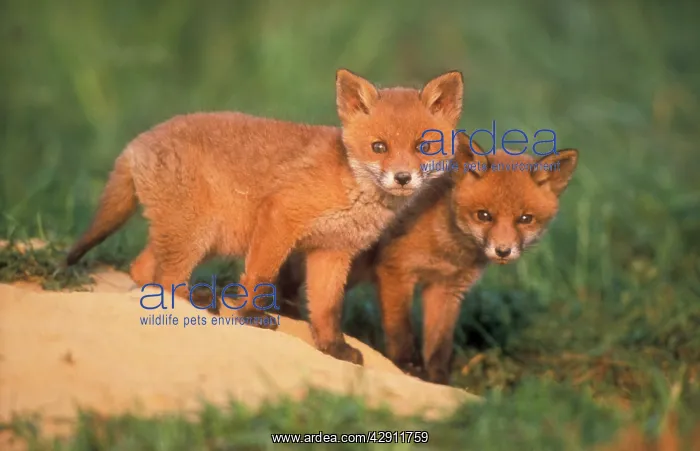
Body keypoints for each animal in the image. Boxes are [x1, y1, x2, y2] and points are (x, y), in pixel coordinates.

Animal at [64, 68, 466, 365]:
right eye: (379, 147)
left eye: (423, 146)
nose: (403, 178)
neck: (350, 186)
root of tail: (137, 142)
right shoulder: (280, 218)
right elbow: (260, 276)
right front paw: (250, 318)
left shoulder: (332, 252)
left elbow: (326, 308)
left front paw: (333, 348)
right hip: (196, 234)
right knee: (165, 280)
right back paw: (198, 302)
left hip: (201, 236)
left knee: (143, 271)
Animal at [275, 132, 578, 383]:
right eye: (484, 215)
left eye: (525, 219)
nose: (503, 251)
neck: (448, 249)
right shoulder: (396, 271)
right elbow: (401, 330)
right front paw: (409, 367)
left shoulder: (447, 289)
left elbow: (439, 344)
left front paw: (438, 379)